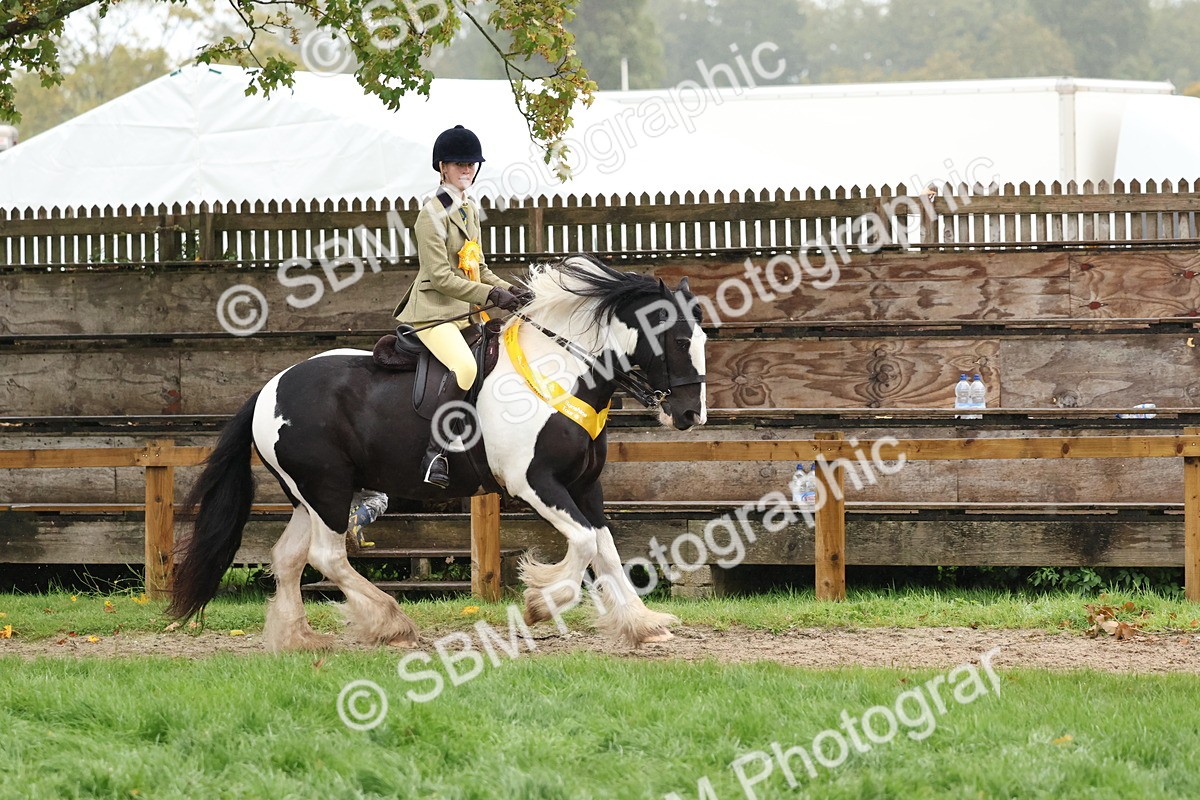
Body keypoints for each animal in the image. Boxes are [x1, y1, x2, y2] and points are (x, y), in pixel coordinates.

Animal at [167, 254, 708, 649]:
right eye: (679, 338)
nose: (690, 414)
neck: (556, 369)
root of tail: (267, 389)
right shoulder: (535, 483)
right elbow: (584, 543)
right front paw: (542, 603)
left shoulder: (584, 485)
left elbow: (606, 547)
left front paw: (641, 624)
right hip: (328, 489)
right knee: (327, 556)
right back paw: (390, 622)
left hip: (309, 496)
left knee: (288, 558)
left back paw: (298, 639)